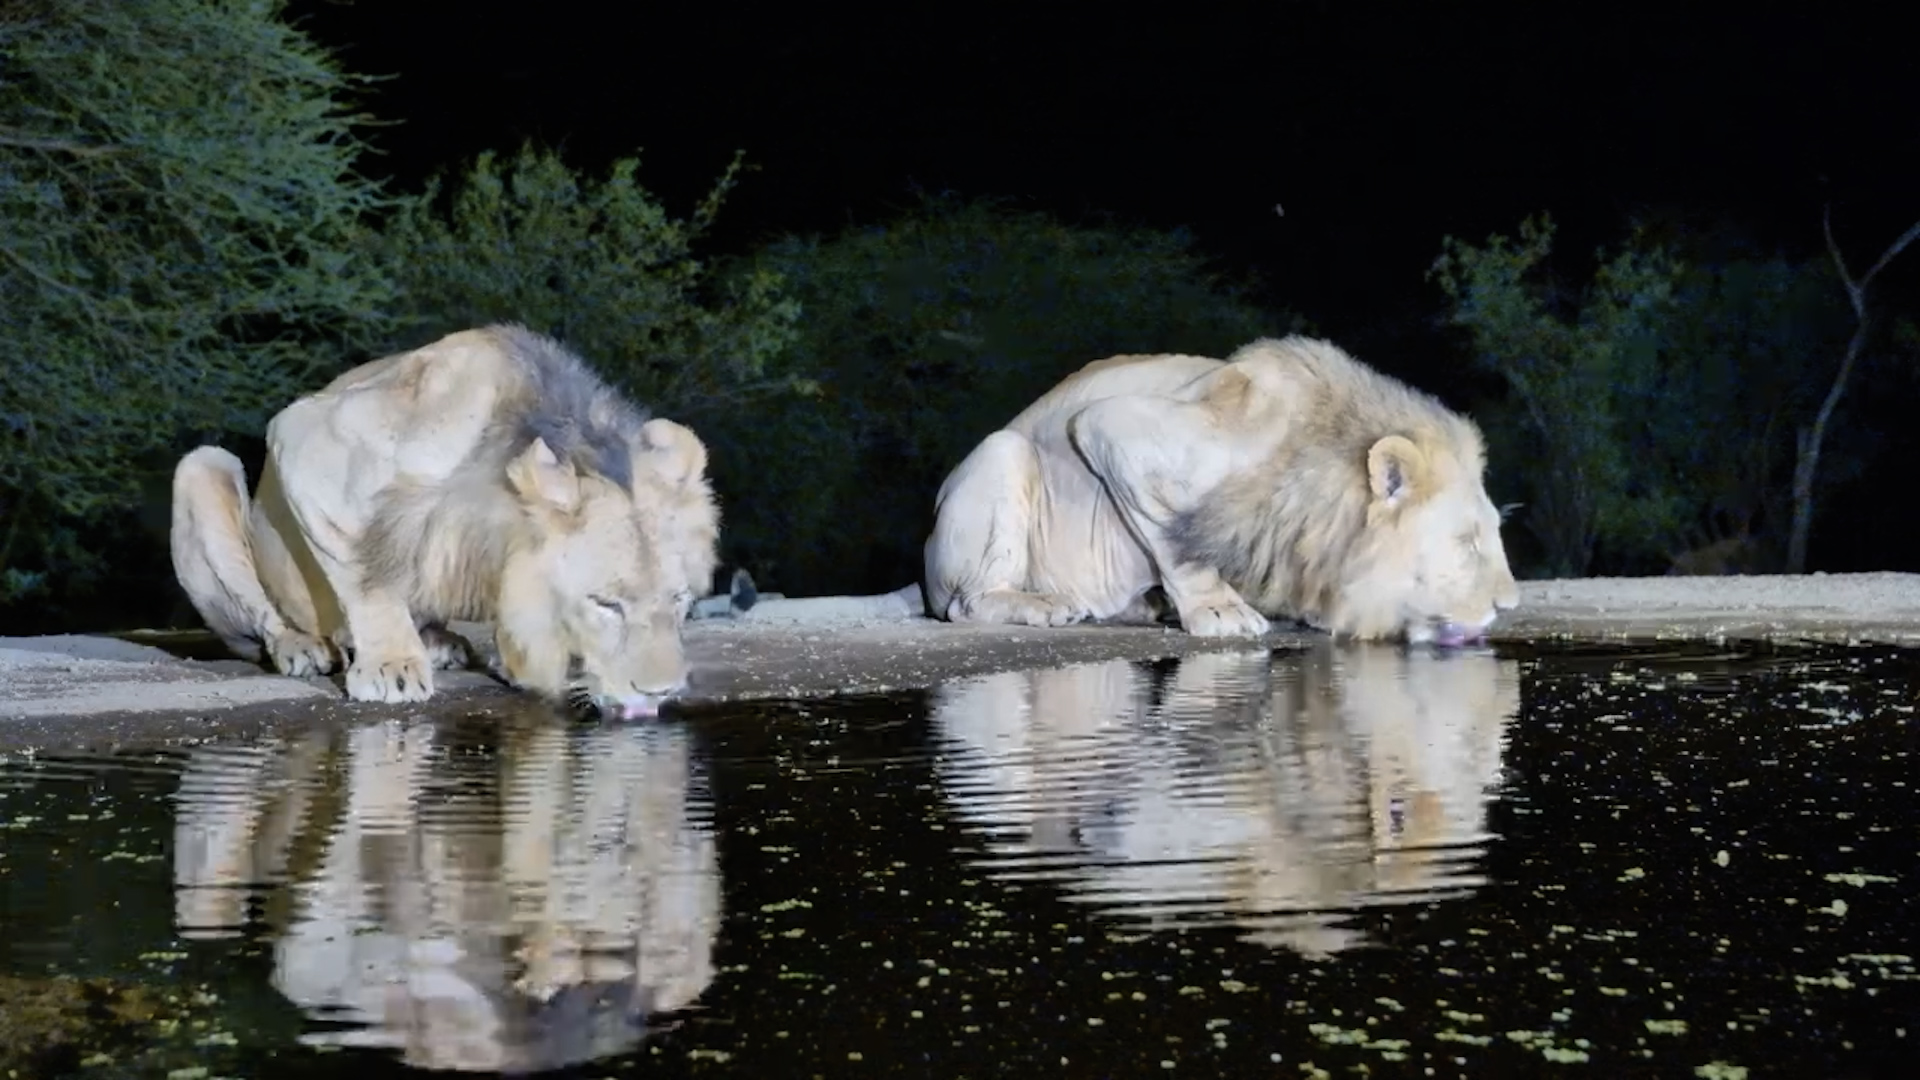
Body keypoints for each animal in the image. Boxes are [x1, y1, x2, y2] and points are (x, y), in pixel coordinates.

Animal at [168, 324, 720, 718]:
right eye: (605, 605)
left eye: (679, 599)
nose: (662, 691)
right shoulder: (307, 437)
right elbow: (366, 571)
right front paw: (391, 666)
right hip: (202, 467)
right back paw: (304, 646)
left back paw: (438, 640)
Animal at [745, 335, 1520, 645]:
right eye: (1466, 542)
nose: (1509, 605)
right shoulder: (1117, 430)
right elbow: (1182, 541)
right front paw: (1221, 613)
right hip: (1002, 455)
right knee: (964, 604)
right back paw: (1042, 605)